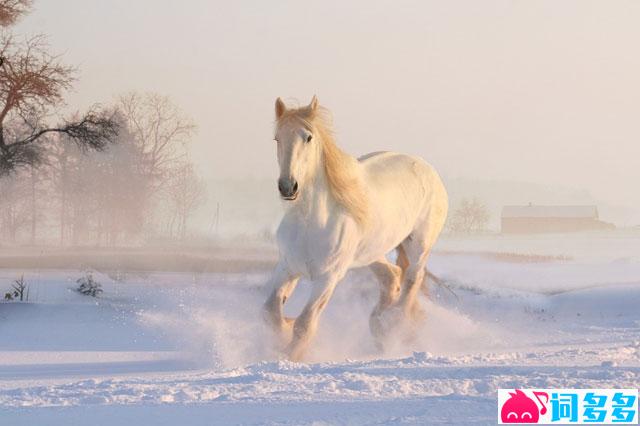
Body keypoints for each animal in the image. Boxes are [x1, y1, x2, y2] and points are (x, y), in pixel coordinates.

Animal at [262, 95, 448, 360]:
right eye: (277, 138)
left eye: (308, 137)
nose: (288, 187)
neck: (311, 223)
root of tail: (426, 167)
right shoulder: (287, 267)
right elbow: (270, 312)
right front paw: (283, 334)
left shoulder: (328, 278)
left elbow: (305, 324)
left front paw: (290, 355)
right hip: (371, 253)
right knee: (392, 276)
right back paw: (379, 326)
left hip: (419, 245)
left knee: (413, 278)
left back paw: (395, 324)